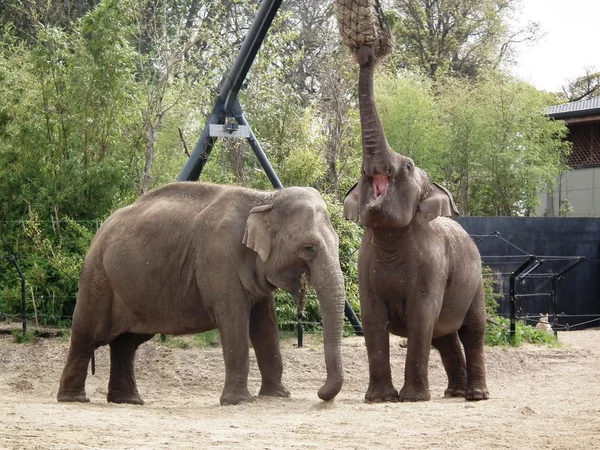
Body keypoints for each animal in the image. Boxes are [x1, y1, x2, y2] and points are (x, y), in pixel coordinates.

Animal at [59, 181, 346, 406]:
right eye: (308, 247)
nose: (320, 393)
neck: (265, 198)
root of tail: (99, 230)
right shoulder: (218, 259)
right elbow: (234, 320)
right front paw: (238, 402)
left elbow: (265, 325)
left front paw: (277, 396)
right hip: (99, 278)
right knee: (88, 334)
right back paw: (74, 399)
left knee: (127, 343)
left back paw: (128, 401)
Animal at [344, 45, 490, 402]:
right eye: (360, 173)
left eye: (408, 166)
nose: (366, 54)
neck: (391, 239)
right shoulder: (365, 266)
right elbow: (372, 317)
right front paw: (380, 399)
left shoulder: (432, 265)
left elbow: (421, 315)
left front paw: (410, 399)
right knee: (444, 337)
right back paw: (452, 393)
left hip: (476, 283)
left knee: (473, 332)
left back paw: (475, 395)